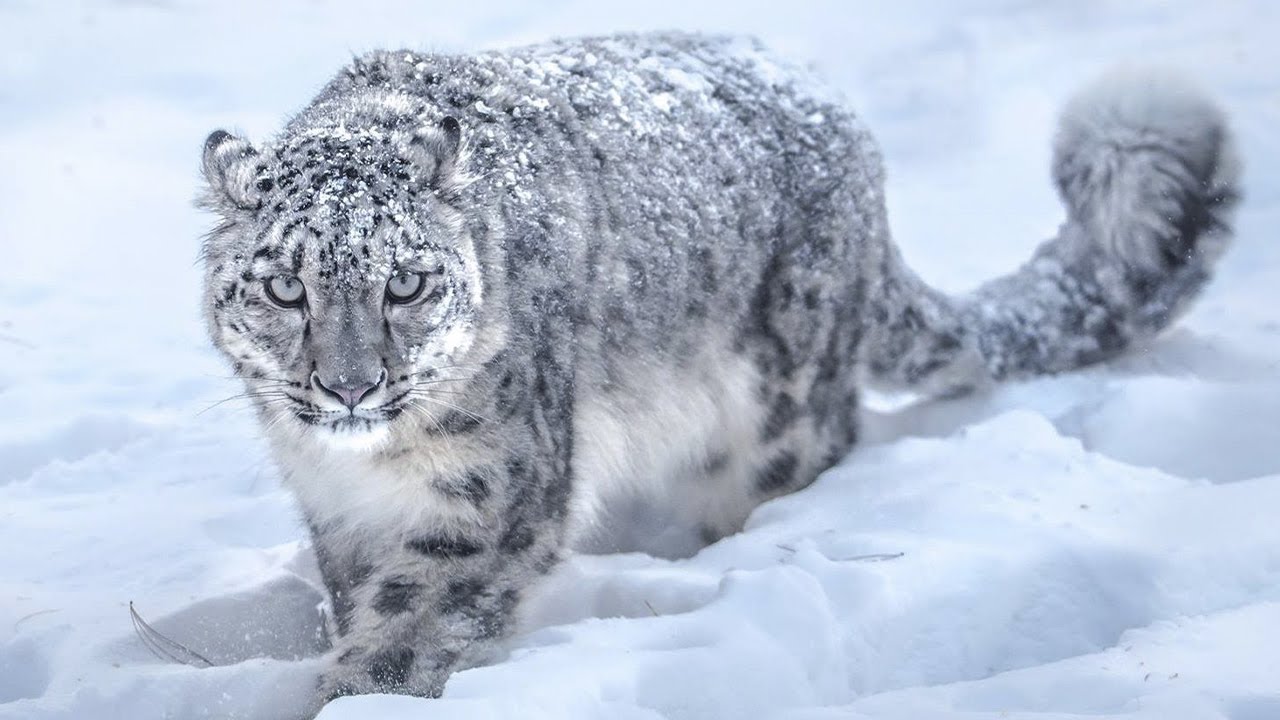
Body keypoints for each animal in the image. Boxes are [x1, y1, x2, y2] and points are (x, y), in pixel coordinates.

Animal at [197, 32, 1239, 707]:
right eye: (285, 288)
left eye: (407, 282)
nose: (351, 385)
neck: (368, 468)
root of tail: (850, 136)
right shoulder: (339, 510)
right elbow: (362, 598)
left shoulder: (489, 494)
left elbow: (408, 627)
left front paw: (354, 690)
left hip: (779, 415)